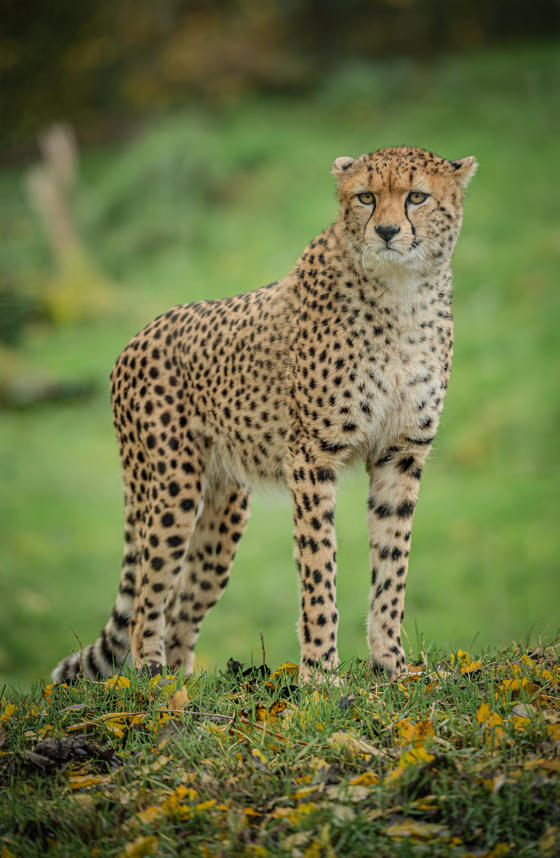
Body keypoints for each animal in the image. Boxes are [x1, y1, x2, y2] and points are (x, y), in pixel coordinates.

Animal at [52, 145, 477, 684]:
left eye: (416, 197)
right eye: (366, 197)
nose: (385, 231)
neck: (401, 293)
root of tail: (139, 335)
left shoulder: (401, 453)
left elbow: (391, 565)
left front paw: (392, 666)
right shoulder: (313, 456)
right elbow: (319, 567)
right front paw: (320, 674)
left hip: (224, 510)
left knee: (183, 603)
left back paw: (183, 683)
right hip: (172, 487)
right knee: (149, 594)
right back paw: (154, 681)